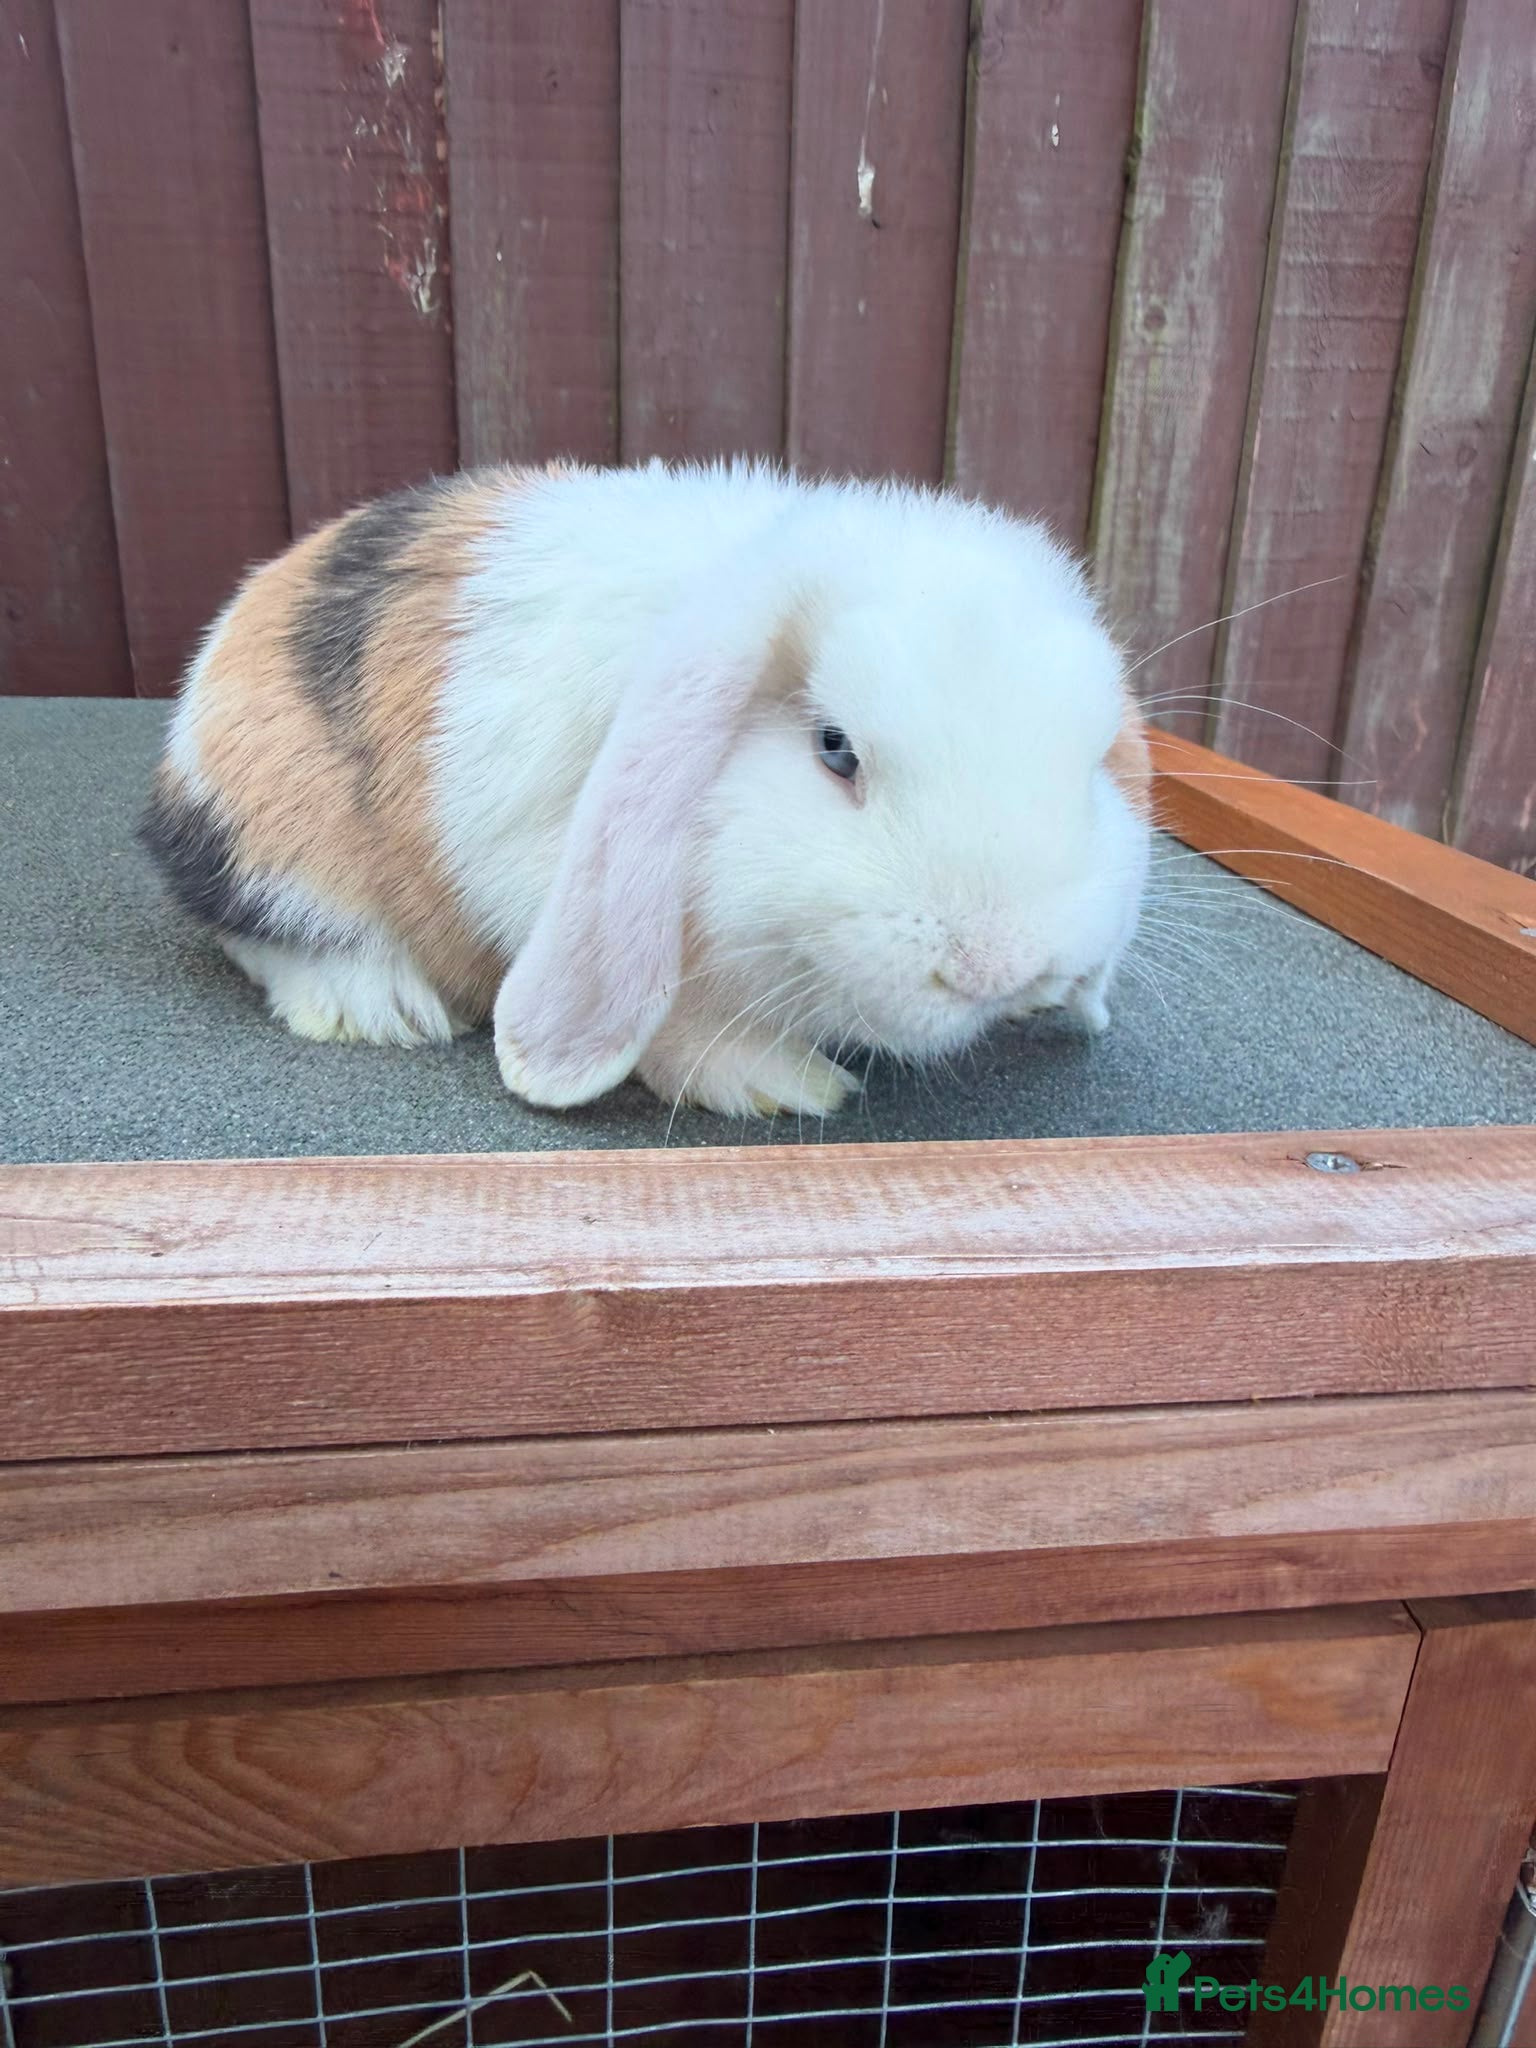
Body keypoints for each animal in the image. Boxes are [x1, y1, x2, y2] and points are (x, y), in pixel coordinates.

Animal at [142, 459, 1153, 1118]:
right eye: (835, 751)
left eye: (1090, 763)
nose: (1000, 966)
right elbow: (673, 1019)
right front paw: (781, 1085)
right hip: (263, 829)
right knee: (263, 930)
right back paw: (383, 1008)